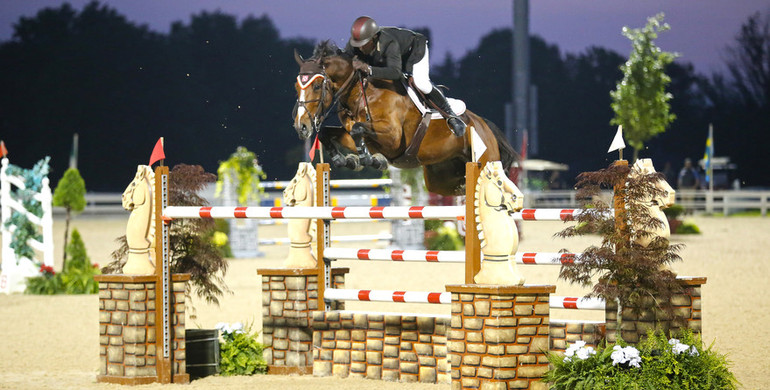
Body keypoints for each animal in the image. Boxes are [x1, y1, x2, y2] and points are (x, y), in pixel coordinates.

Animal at [294, 41, 516, 197]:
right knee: (459, 188)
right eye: (297, 86)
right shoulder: (356, 134)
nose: (301, 126)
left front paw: (369, 159)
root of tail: (483, 125)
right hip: (440, 178)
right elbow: (330, 133)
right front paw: (348, 160)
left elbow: (358, 129)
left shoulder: (392, 138)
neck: (360, 94)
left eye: (316, 86)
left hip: (483, 157)